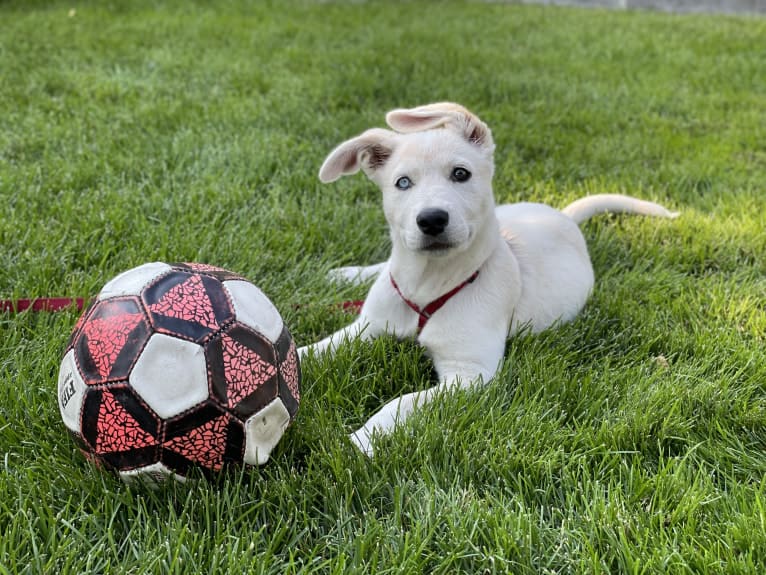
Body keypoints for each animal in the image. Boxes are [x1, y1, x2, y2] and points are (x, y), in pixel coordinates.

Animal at [300, 102, 680, 454]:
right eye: (402, 183)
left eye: (461, 174)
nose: (432, 220)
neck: (426, 283)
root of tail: (562, 216)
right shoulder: (367, 327)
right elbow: (312, 351)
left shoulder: (469, 373)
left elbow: (402, 401)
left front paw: (362, 440)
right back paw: (346, 274)